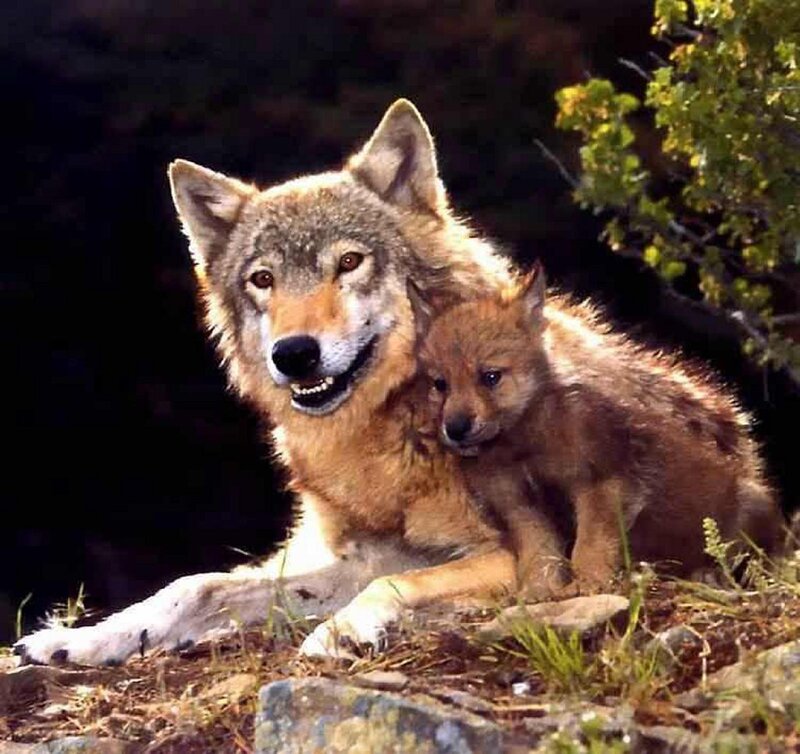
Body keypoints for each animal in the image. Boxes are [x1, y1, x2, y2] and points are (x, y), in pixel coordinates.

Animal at [411, 264, 785, 594]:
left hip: (748, 508)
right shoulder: (521, 507)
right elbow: (540, 559)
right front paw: (536, 595)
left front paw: (589, 584)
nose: (456, 428)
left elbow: (588, 548)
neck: (526, 443)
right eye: (440, 384)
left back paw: (710, 574)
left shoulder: (602, 485)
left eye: (490, 376)